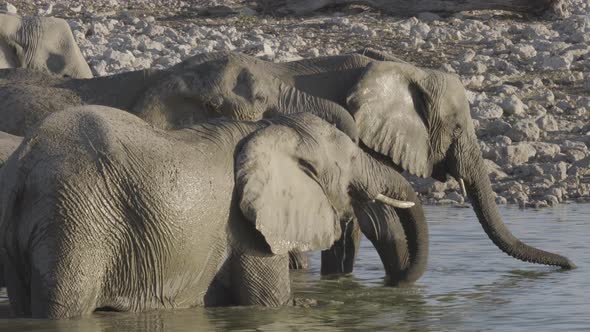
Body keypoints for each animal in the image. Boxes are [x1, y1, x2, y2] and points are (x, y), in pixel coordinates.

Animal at [0, 107, 424, 320]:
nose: (397, 284)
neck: (266, 128)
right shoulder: (247, 229)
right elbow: (269, 303)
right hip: (76, 220)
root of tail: (23, 164)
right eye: (352, 158)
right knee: (64, 309)